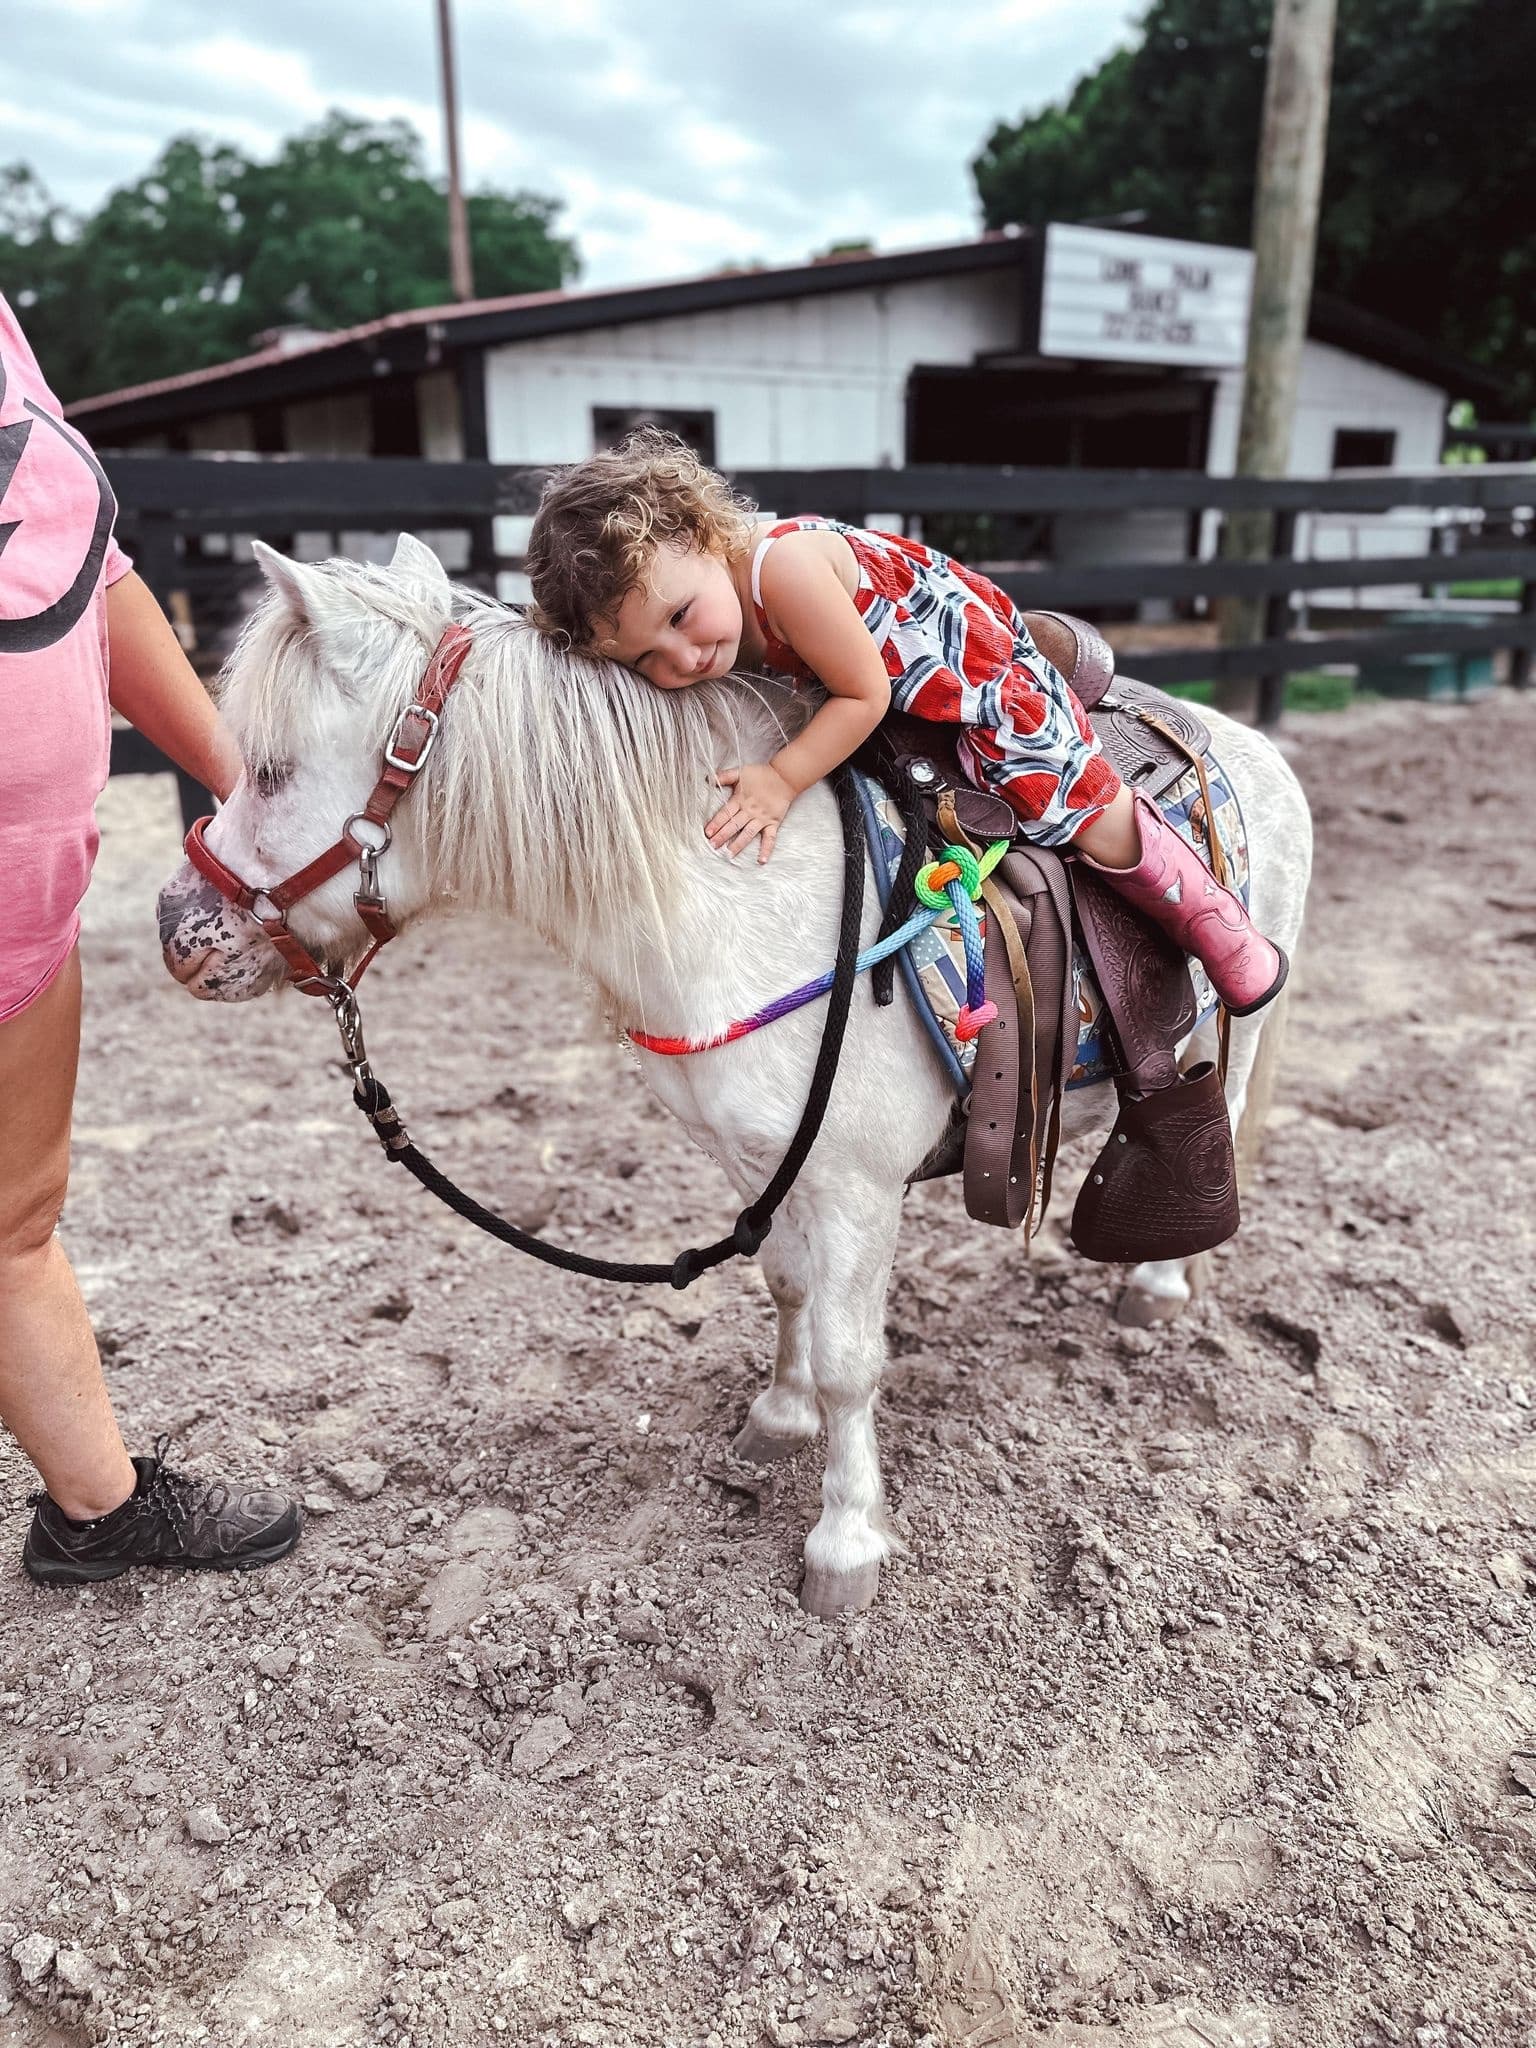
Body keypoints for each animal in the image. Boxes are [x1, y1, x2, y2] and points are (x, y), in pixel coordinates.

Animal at [155, 535, 1313, 1615]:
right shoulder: (755, 1157)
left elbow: (852, 1360)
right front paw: (777, 1418)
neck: (736, 898)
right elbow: (784, 1283)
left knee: (1205, 1102)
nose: (177, 930)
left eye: (271, 769)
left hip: (1230, 1032)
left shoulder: (854, 1189)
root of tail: (1251, 741)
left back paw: (1157, 1281)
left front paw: (844, 1543)